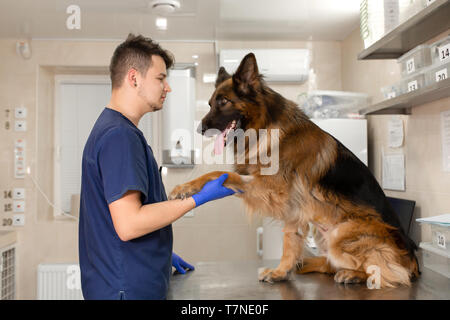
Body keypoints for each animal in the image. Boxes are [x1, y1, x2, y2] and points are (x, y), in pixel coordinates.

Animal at [168, 52, 418, 288]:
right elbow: (290, 242)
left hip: (340, 235)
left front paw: (184, 188)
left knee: (391, 272)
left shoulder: (273, 189)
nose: (200, 129)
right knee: (332, 264)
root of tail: (414, 259)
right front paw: (281, 272)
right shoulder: (293, 209)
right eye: (210, 103)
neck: (265, 127)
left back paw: (355, 275)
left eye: (224, 101)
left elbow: (221, 174)